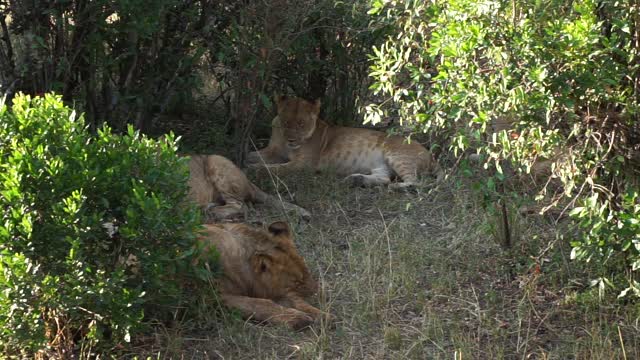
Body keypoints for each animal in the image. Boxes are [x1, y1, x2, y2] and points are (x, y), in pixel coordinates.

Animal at [196, 221, 330, 330]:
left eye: (307, 272)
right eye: (297, 282)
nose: (322, 295)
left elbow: (296, 301)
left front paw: (322, 315)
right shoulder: (214, 296)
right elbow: (259, 303)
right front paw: (298, 319)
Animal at [248, 95, 442, 191]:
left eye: (301, 124)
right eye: (286, 122)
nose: (291, 140)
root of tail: (431, 155)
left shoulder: (304, 164)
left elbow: (275, 169)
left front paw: (254, 169)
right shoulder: (273, 151)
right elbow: (253, 155)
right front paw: (245, 161)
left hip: (397, 155)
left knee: (415, 181)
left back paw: (396, 187)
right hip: (382, 166)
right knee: (384, 178)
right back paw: (356, 180)